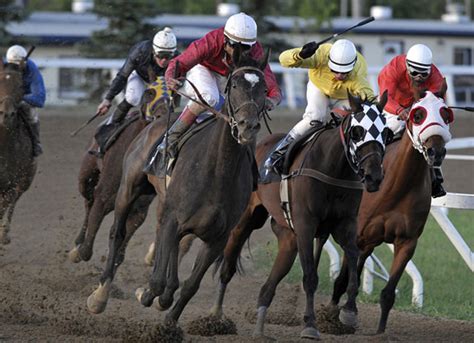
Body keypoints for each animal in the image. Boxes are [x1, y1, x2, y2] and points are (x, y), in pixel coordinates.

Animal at [68, 78, 174, 264]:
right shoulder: (105, 195)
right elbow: (88, 245)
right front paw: (80, 251)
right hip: (86, 174)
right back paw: (78, 242)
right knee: (88, 201)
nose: (163, 117)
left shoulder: (138, 206)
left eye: (173, 95)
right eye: (149, 93)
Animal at [86, 46, 268, 322]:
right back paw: (100, 296)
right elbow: (158, 279)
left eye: (265, 89)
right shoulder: (174, 218)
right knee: (117, 232)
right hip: (130, 188)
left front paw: (169, 320)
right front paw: (146, 293)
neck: (218, 172)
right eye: (235, 84)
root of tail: (155, 122)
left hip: (164, 202)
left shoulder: (217, 238)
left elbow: (190, 285)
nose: (249, 126)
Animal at [209, 90, 386, 340]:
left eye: (386, 132)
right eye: (357, 131)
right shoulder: (305, 226)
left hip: (287, 237)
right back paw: (215, 316)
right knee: (228, 265)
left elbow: (353, 257)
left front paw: (349, 311)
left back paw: (260, 327)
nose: (373, 177)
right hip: (247, 220)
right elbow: (310, 276)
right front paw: (310, 325)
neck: (333, 168)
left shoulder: (346, 224)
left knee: (269, 283)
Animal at [326, 80, 452, 334]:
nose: (436, 151)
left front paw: (379, 332)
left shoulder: (406, 242)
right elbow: (342, 281)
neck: (396, 187)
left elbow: (387, 294)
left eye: (446, 114)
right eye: (418, 115)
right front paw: (334, 316)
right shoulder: (357, 236)